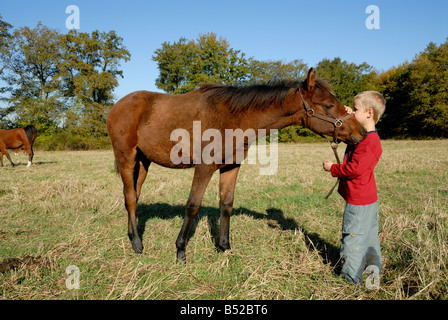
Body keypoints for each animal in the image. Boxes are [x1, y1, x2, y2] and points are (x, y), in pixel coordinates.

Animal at [107, 68, 366, 262]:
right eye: (329, 106)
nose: (361, 133)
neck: (233, 118)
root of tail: (116, 106)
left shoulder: (230, 167)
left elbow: (226, 204)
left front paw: (224, 246)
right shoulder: (204, 167)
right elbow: (192, 205)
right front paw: (180, 250)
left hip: (143, 161)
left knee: (134, 195)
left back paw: (132, 236)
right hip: (127, 157)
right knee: (130, 198)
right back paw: (137, 244)